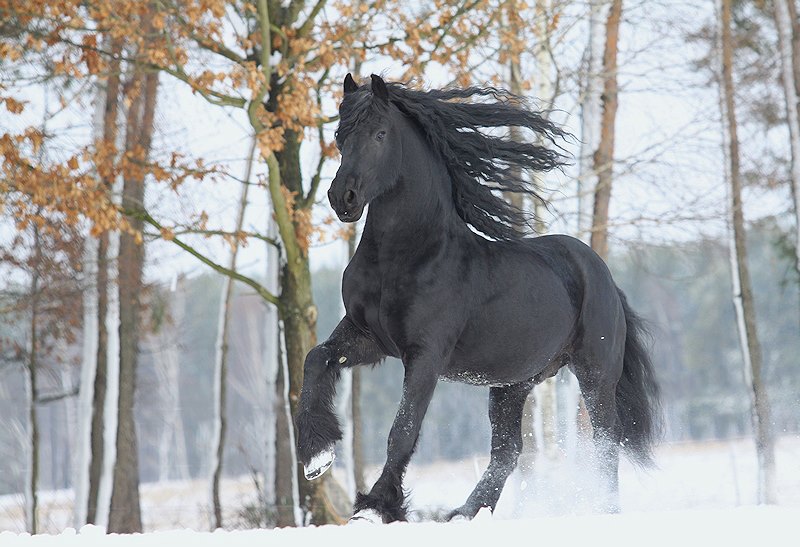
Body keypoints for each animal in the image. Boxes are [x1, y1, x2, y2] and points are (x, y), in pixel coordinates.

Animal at [296, 75, 660, 524]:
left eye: (379, 134)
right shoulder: (369, 338)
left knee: (607, 441)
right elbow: (316, 359)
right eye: (340, 136)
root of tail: (604, 276)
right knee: (508, 451)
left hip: (594, 373)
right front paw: (318, 456)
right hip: (513, 383)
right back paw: (464, 512)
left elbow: (403, 429)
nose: (341, 197)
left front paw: (376, 506)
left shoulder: (426, 355)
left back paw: (604, 510)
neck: (406, 256)